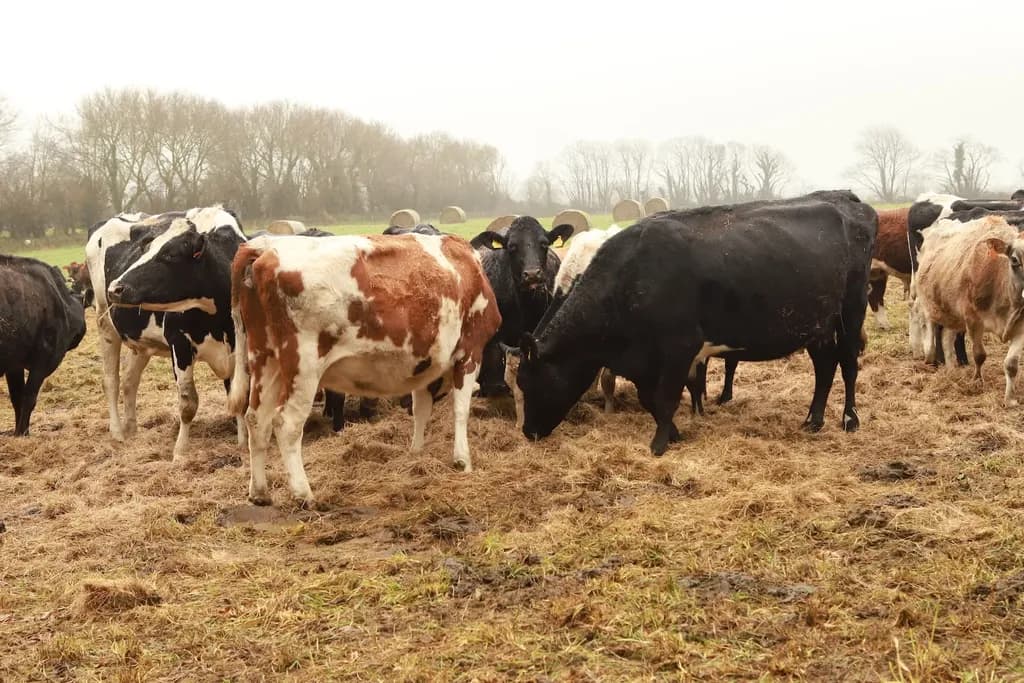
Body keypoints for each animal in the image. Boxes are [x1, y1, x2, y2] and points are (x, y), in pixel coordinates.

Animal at [0, 255, 87, 435]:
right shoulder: (44, 359)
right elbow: (29, 397)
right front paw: (22, 433)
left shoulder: (14, 364)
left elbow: (17, 397)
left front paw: (18, 432)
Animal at [86, 206, 248, 459]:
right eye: (145, 248)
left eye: (171, 255)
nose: (116, 288)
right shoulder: (179, 343)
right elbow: (188, 402)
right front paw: (180, 452)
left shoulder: (239, 346)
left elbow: (237, 395)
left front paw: (242, 443)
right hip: (105, 323)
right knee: (111, 380)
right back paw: (117, 432)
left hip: (140, 344)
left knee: (130, 381)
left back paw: (131, 428)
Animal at [227, 233, 501, 506]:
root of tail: (265, 245)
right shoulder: (470, 351)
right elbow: (461, 410)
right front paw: (462, 461)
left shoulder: (425, 365)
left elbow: (420, 410)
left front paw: (416, 452)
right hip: (303, 365)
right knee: (286, 423)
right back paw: (303, 493)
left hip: (265, 359)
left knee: (256, 419)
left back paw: (260, 493)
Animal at [512, 191, 877, 455]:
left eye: (531, 383)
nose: (528, 432)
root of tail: (848, 200)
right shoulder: (644, 358)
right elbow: (650, 399)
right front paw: (673, 434)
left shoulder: (680, 346)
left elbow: (666, 398)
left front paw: (659, 445)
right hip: (817, 323)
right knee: (825, 366)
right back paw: (813, 420)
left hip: (851, 309)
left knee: (848, 364)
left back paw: (849, 419)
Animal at [913, 215, 1024, 405]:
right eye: (1015, 259)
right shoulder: (973, 319)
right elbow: (979, 354)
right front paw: (977, 382)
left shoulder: (1021, 326)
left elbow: (1012, 364)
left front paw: (1010, 399)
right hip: (928, 302)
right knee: (929, 328)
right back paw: (929, 356)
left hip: (952, 313)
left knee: (946, 338)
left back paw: (951, 370)